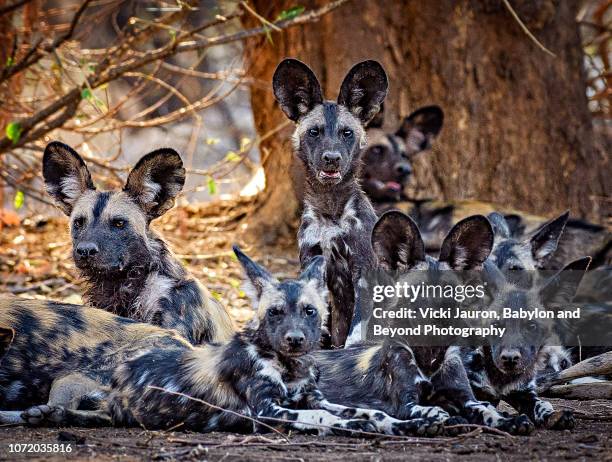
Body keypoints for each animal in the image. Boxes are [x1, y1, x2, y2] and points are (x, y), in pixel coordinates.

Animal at [0, 249, 440, 436]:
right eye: (275, 313)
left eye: (310, 311)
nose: (296, 340)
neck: (289, 368)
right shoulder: (270, 411)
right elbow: (332, 419)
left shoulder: (315, 399)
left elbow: (367, 411)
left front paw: (411, 421)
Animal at [272, 58, 388, 346]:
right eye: (314, 132)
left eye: (346, 133)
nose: (332, 158)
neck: (330, 212)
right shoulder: (312, 263)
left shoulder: (363, 273)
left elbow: (355, 334)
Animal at [314, 211, 536, 434]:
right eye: (417, 293)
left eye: (449, 293)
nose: (436, 321)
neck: (429, 359)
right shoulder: (406, 404)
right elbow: (433, 410)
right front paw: (446, 420)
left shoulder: (466, 398)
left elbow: (487, 410)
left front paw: (509, 421)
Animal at [462, 256, 592, 430]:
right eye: (496, 325)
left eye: (531, 326)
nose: (510, 358)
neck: (501, 379)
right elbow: (484, 409)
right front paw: (508, 420)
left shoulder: (523, 393)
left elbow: (542, 403)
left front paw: (553, 415)